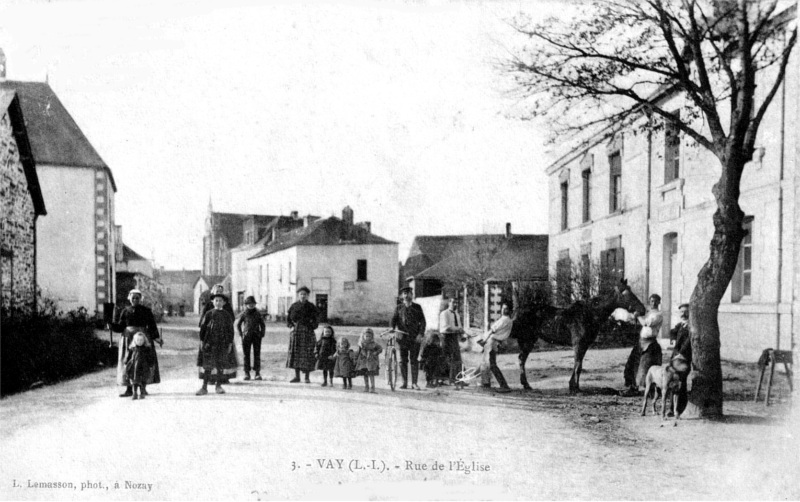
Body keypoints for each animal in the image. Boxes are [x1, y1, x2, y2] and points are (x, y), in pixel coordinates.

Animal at [510, 278, 648, 392]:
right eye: (625, 292)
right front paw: (574, 387)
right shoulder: (578, 343)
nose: (643, 309)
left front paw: (574, 386)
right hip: (527, 340)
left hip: (528, 340)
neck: (590, 314)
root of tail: (516, 311)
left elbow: (579, 364)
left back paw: (526, 384)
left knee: (521, 358)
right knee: (521, 359)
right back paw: (524, 384)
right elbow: (577, 364)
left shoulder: (585, 344)